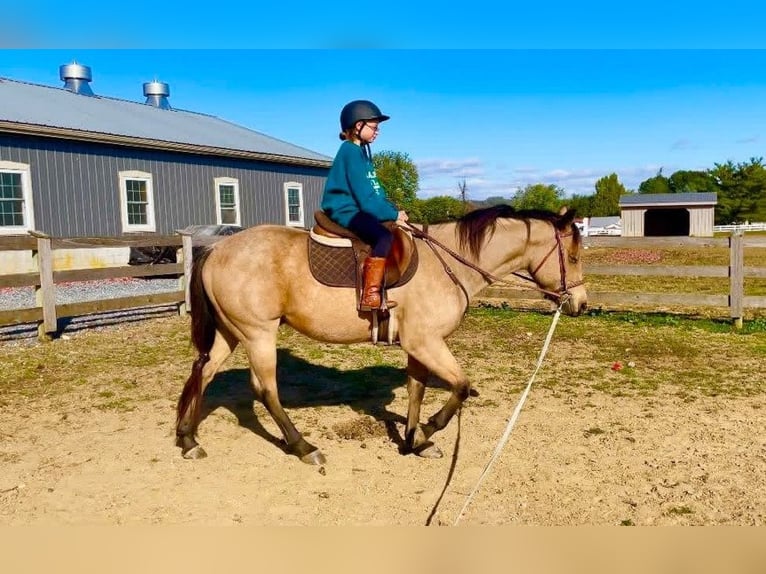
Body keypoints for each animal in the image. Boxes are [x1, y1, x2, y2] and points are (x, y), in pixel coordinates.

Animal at [177, 205, 592, 466]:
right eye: (573, 256)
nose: (581, 303)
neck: (448, 263)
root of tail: (216, 249)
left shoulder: (419, 345)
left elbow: (416, 389)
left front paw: (415, 440)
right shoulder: (426, 342)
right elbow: (459, 386)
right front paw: (428, 429)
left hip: (232, 333)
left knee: (204, 372)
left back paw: (188, 438)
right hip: (258, 334)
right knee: (265, 391)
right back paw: (303, 447)